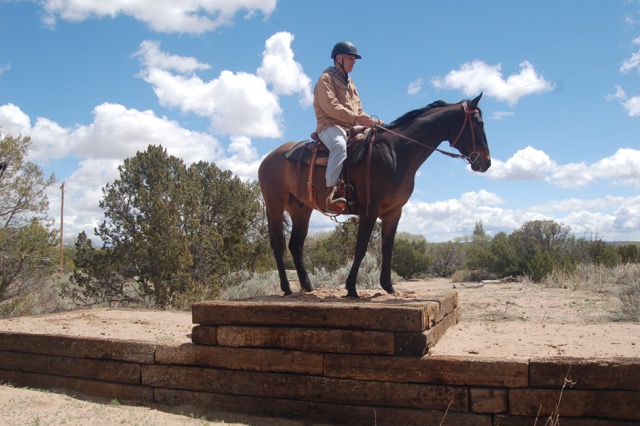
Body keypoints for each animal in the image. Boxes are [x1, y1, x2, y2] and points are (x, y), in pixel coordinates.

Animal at [258, 94, 490, 298]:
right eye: (478, 123)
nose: (486, 162)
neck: (396, 153)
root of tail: (268, 158)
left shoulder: (393, 212)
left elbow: (387, 248)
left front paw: (388, 286)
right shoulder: (369, 210)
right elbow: (361, 248)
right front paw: (352, 288)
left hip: (301, 210)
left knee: (295, 245)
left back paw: (307, 286)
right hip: (275, 205)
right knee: (278, 245)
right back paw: (287, 288)